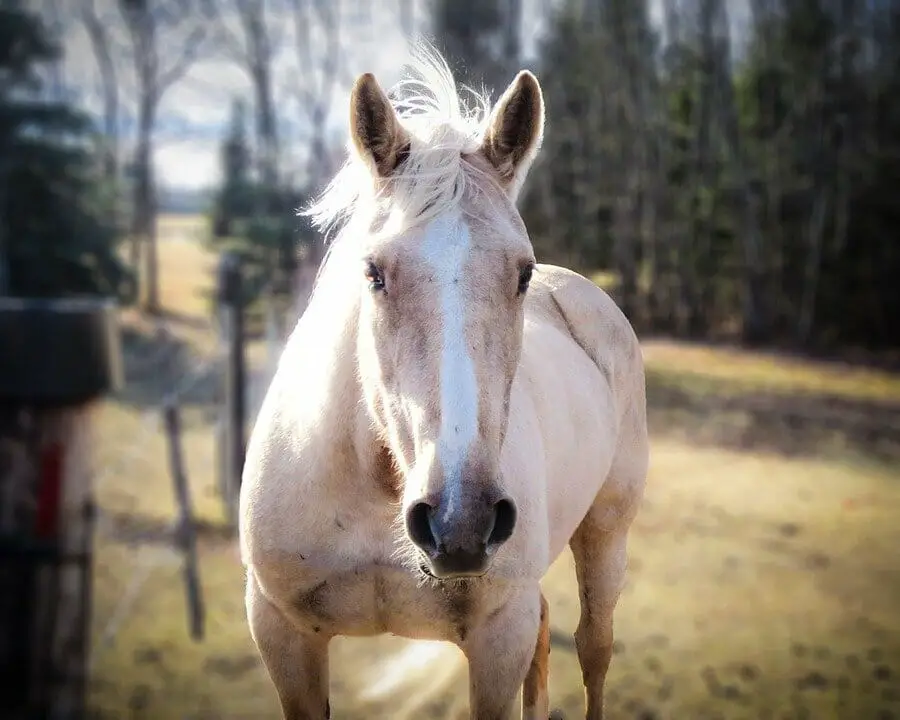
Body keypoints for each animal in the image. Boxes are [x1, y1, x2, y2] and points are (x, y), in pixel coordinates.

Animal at [239, 46, 648, 720]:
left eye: (522, 273)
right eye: (374, 272)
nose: (462, 522)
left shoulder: (496, 638)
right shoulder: (282, 634)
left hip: (606, 535)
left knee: (595, 648)